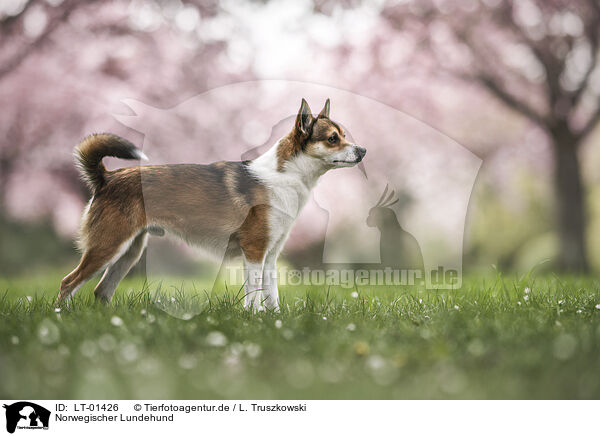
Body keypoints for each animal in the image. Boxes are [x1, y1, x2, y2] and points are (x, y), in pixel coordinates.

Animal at [58, 99, 366, 310]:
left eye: (344, 135)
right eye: (333, 138)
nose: (363, 150)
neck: (284, 176)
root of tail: (107, 178)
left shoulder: (270, 257)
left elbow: (272, 294)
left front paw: (275, 321)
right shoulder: (254, 251)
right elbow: (254, 294)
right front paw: (254, 319)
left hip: (128, 252)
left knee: (101, 291)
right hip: (107, 247)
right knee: (68, 283)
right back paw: (64, 316)